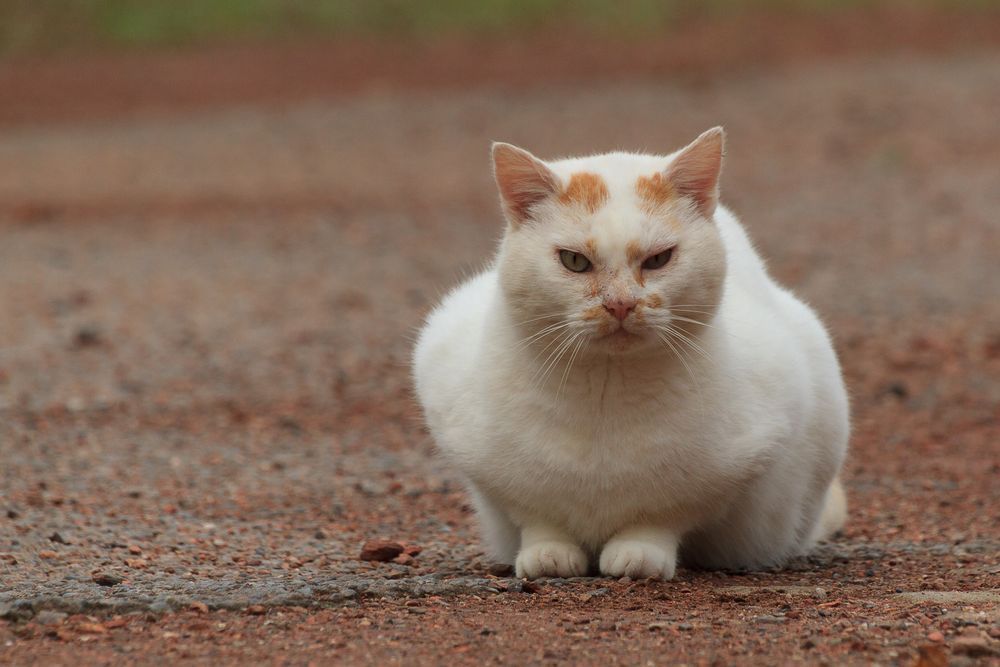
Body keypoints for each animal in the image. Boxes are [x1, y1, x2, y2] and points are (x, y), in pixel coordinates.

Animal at [410, 129, 848, 580]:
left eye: (658, 259)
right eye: (573, 261)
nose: (620, 304)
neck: (606, 391)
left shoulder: (740, 456)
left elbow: (661, 516)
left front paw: (639, 553)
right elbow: (538, 516)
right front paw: (548, 553)